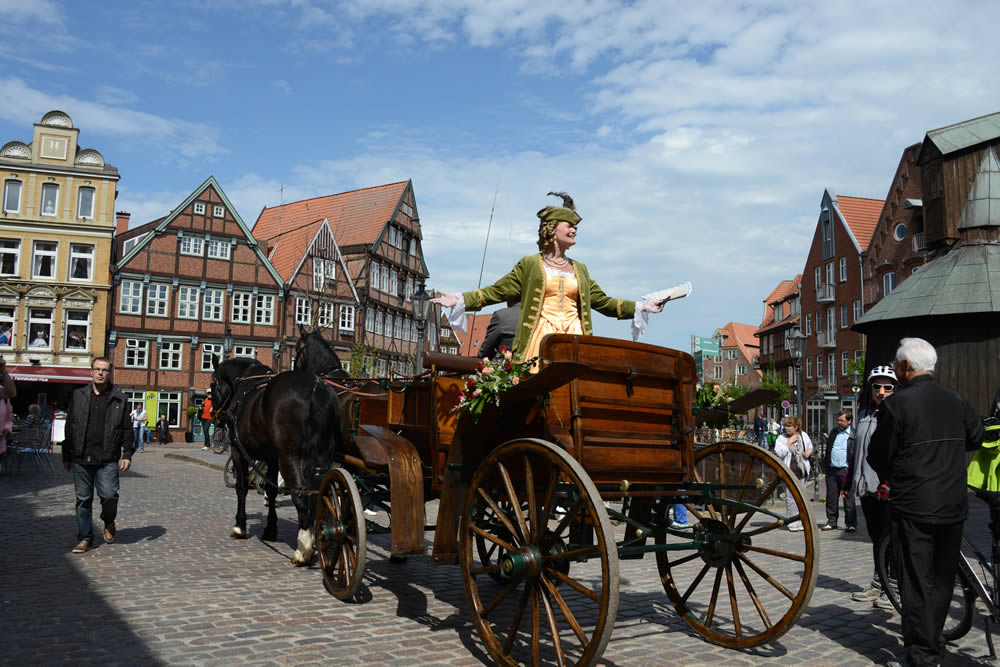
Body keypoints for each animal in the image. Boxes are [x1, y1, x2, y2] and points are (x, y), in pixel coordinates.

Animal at [211, 358, 344, 568]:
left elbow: (241, 488)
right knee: (318, 493)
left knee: (300, 493)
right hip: (321, 456)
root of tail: (317, 385)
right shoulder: (272, 458)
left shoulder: (239, 452)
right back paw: (316, 541)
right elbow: (271, 490)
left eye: (212, 385)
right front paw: (270, 529)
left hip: (288, 456)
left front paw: (240, 526)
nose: (214, 415)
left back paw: (303, 548)